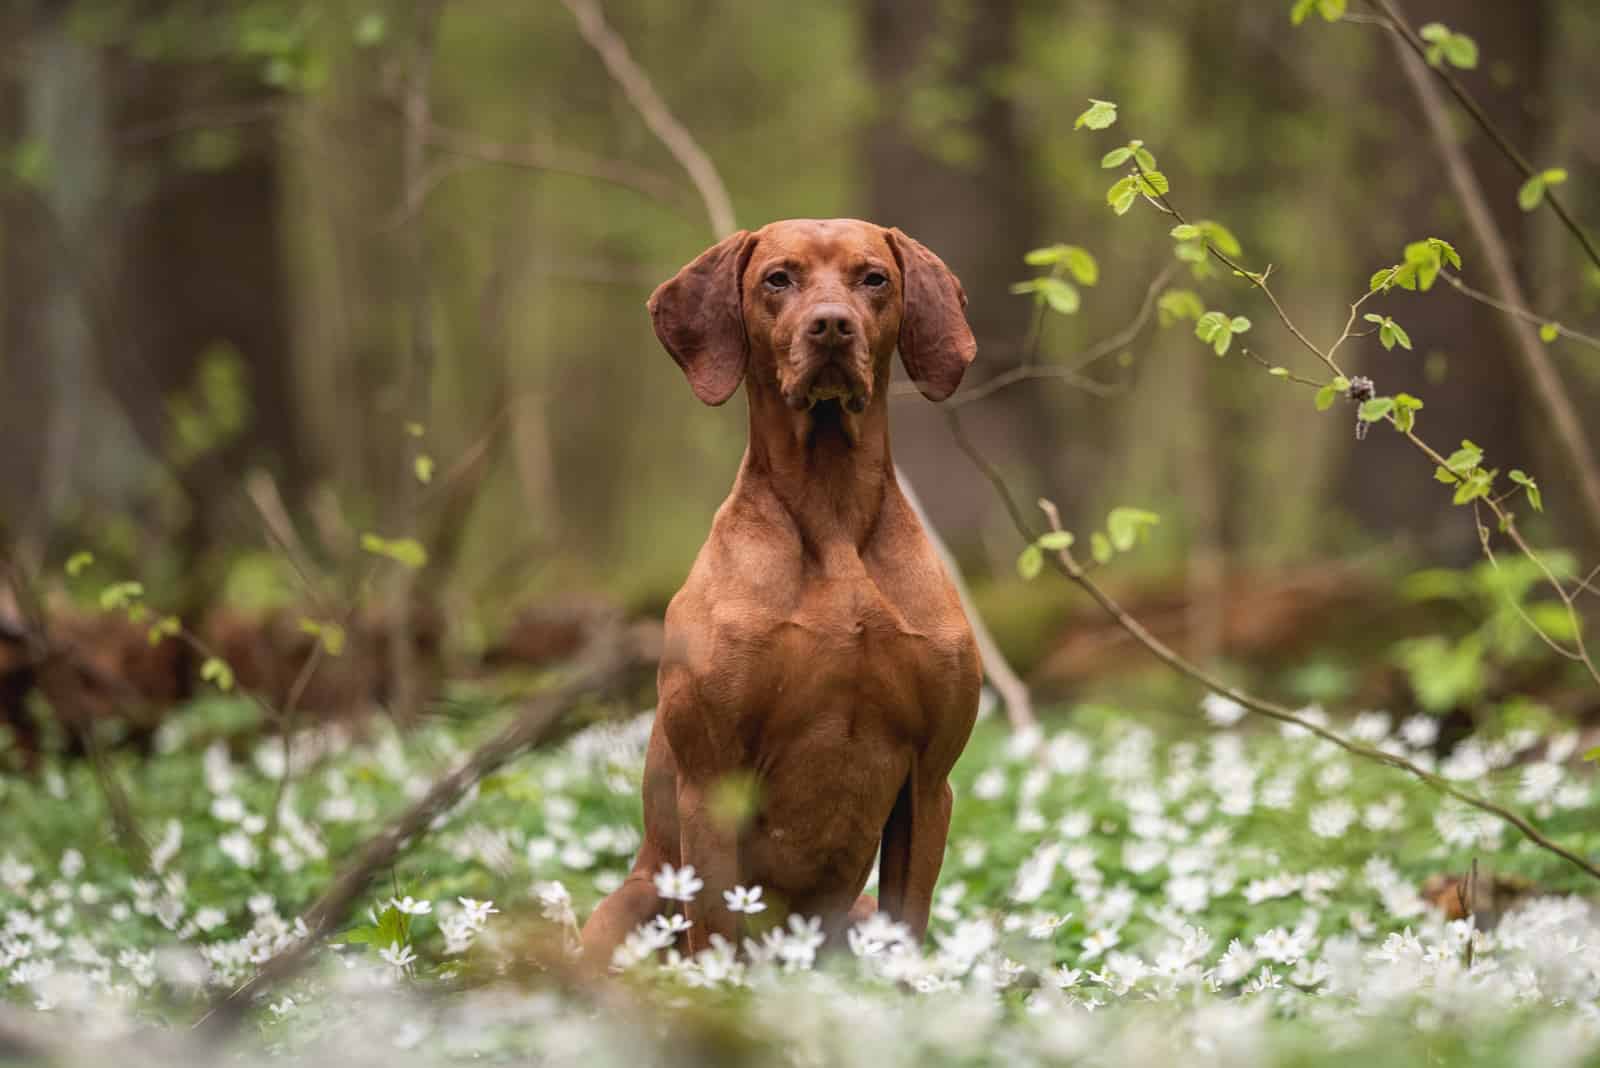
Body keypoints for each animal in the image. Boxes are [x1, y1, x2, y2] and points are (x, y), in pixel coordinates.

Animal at [582, 217, 979, 965]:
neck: (831, 511)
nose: (831, 326)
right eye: (778, 278)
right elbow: (717, 936)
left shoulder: (929, 782)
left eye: (873, 277)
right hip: (632, 901)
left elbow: (908, 930)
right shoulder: (710, 783)